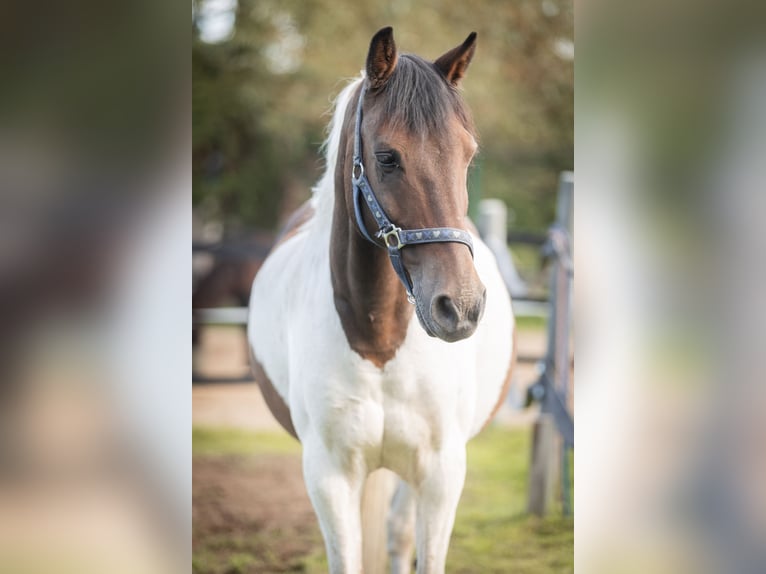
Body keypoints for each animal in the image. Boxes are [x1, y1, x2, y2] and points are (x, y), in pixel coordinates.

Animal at [248, 27, 515, 573]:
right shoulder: (329, 477)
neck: (379, 341)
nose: (460, 306)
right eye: (388, 157)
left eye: (468, 155)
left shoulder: (441, 473)